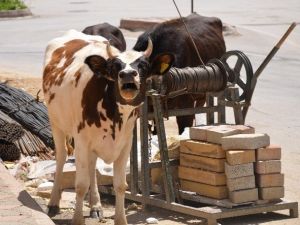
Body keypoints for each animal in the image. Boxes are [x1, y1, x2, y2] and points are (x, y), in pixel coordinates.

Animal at [42, 29, 173, 225]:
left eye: (143, 65)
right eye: (115, 66)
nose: (128, 73)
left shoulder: (125, 143)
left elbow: (120, 185)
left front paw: (120, 219)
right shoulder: (81, 141)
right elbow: (80, 185)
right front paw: (77, 219)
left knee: (91, 165)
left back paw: (95, 205)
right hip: (56, 122)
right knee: (61, 157)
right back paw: (53, 202)